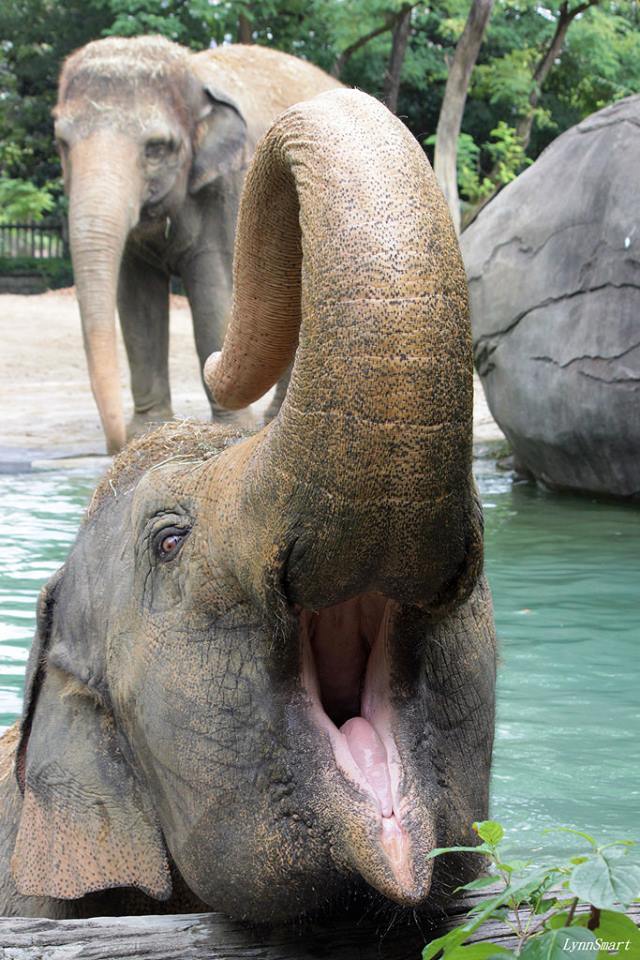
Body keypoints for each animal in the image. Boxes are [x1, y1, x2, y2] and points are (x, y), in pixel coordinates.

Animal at [54, 35, 340, 454]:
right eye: (62, 143)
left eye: (156, 148)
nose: (113, 448)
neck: (193, 74)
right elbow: (137, 303)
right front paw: (149, 429)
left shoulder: (229, 191)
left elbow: (213, 291)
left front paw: (230, 427)